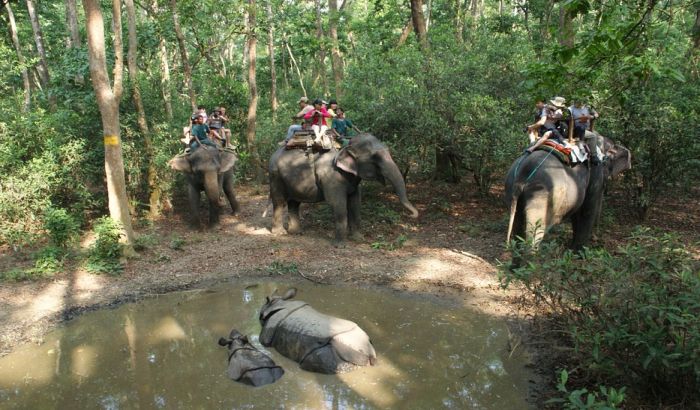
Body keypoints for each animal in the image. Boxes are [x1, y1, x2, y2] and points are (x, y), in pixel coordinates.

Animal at [270, 133, 418, 245]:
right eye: (375, 157)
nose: (412, 215)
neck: (345, 147)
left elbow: (355, 203)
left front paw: (358, 239)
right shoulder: (331, 176)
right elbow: (338, 203)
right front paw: (340, 245)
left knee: (294, 203)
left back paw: (296, 232)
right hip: (275, 176)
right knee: (279, 202)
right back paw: (280, 233)